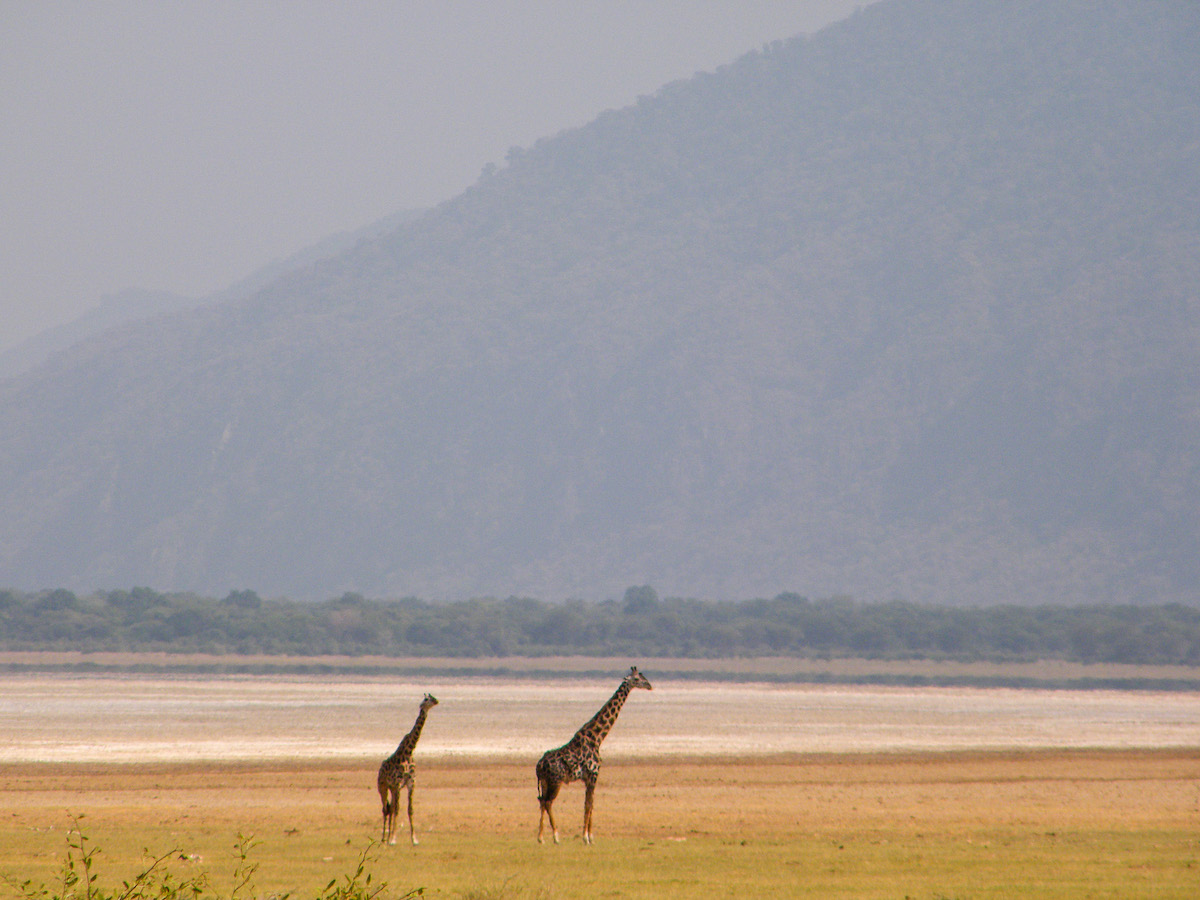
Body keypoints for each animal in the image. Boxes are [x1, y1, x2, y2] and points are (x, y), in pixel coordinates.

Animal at [376, 696, 439, 849]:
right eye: (427, 699)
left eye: (432, 697)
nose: (436, 701)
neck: (409, 751)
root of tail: (380, 768)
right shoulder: (398, 783)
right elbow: (398, 809)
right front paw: (393, 839)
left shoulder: (410, 783)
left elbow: (410, 809)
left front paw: (414, 839)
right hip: (383, 787)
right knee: (386, 809)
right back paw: (383, 839)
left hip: (392, 789)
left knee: (391, 808)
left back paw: (387, 838)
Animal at [535, 662, 652, 844]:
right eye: (637, 679)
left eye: (642, 676)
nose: (649, 685)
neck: (597, 738)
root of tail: (538, 765)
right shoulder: (593, 774)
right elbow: (588, 805)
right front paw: (586, 837)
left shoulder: (590, 778)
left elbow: (590, 804)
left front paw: (591, 836)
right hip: (556, 781)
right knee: (547, 802)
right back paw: (555, 836)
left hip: (545, 781)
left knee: (542, 802)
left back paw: (541, 838)